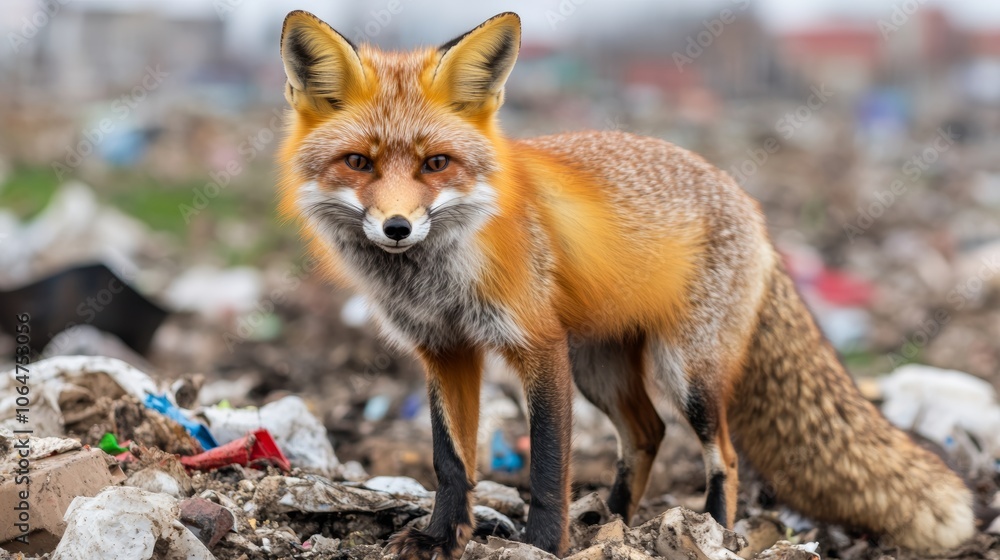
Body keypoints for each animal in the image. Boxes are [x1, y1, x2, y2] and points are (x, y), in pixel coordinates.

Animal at [275, 10, 976, 559]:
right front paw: (441, 538)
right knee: (647, 434)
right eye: (358, 162)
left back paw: (711, 533)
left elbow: (548, 465)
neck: (439, 275)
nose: (396, 227)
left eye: (435, 164)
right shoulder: (445, 350)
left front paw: (541, 545)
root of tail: (751, 205)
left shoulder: (538, 347)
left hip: (685, 373)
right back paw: (612, 522)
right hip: (601, 370)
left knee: (722, 455)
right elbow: (451, 461)